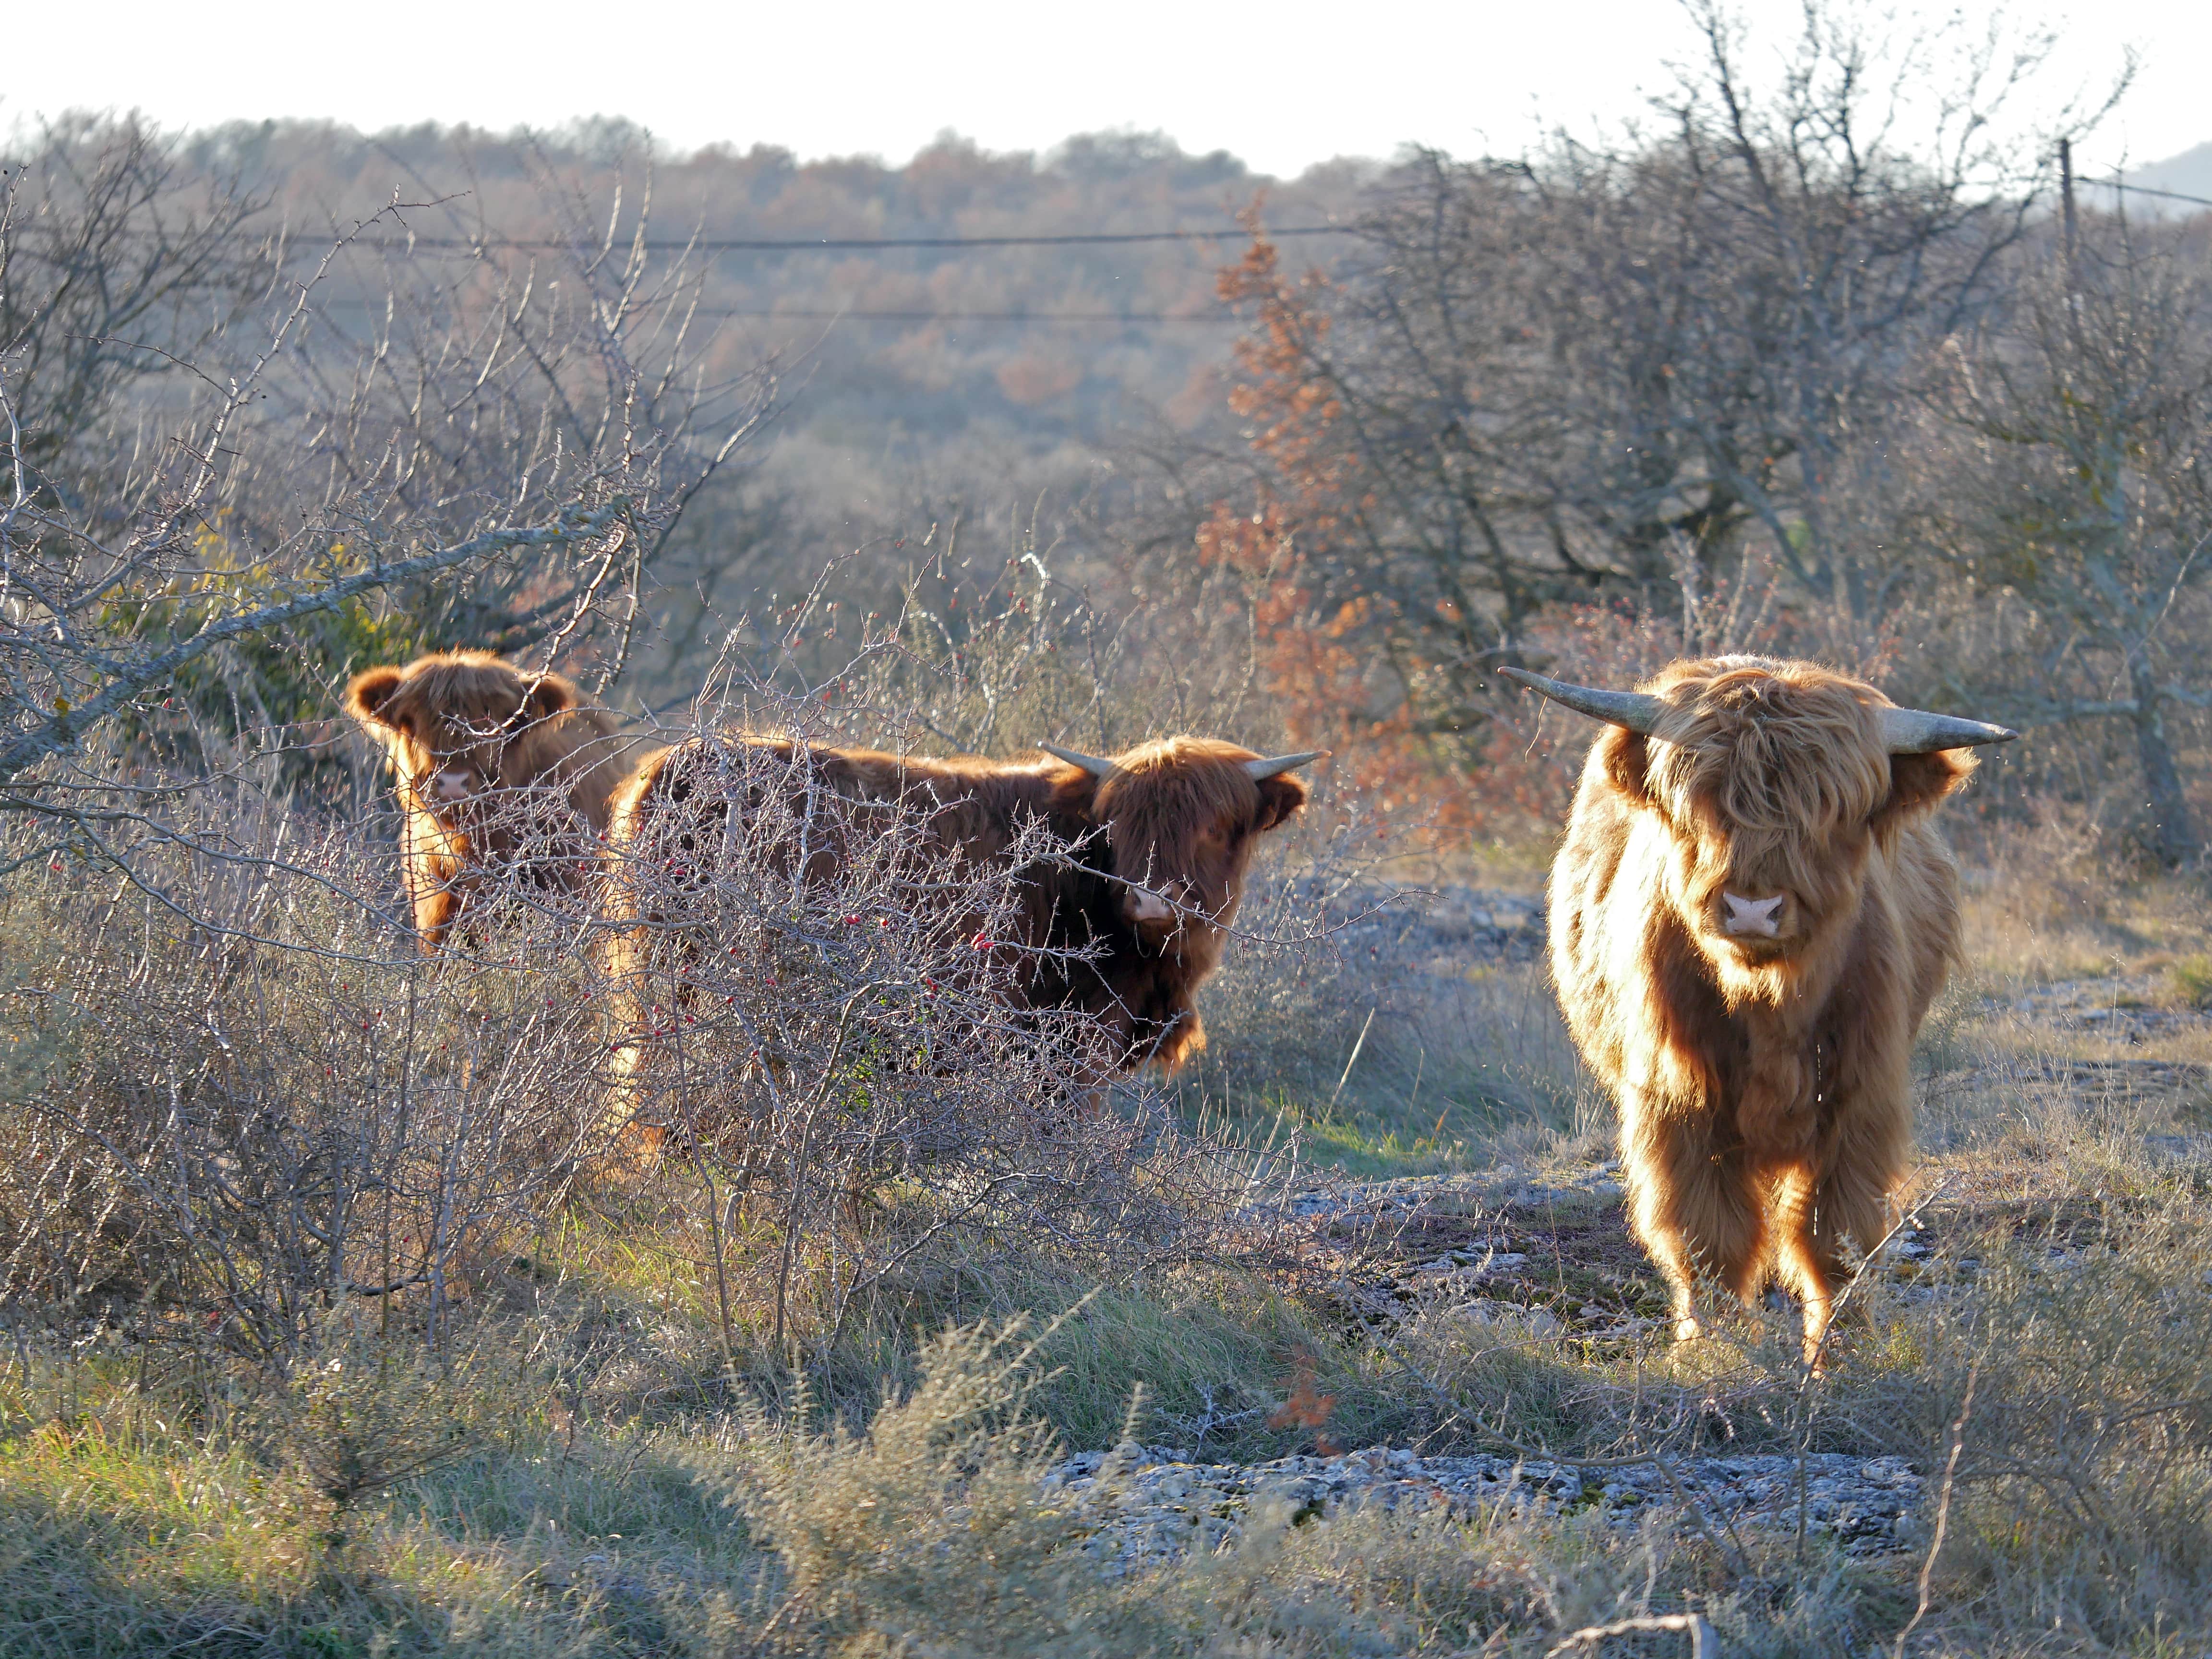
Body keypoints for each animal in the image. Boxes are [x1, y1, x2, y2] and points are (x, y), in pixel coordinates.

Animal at [1502, 656, 2014, 1362]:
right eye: (1697, 804)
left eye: (1831, 808)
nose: (1752, 909)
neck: (1768, 1000)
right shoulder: (1679, 1100)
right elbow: (1708, 1237)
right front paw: (1711, 1352)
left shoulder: (1860, 1099)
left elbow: (1836, 1239)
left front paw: (1840, 1357)